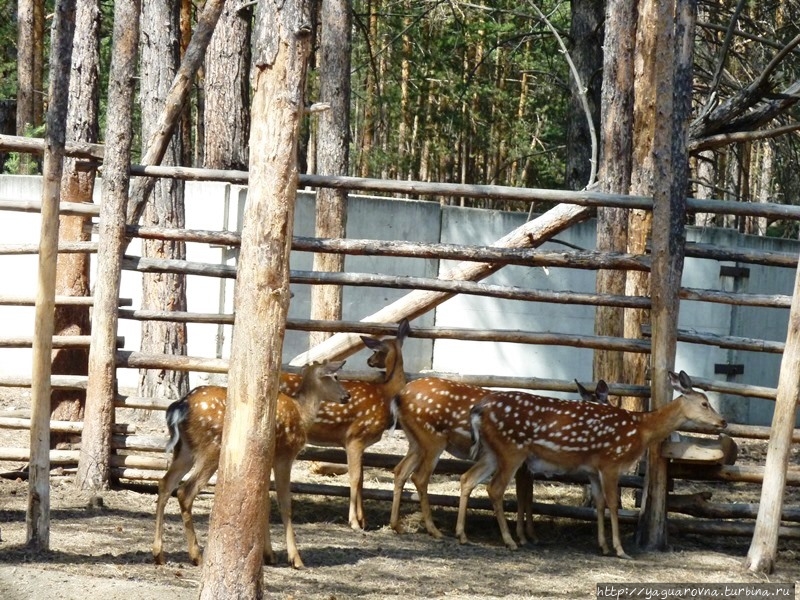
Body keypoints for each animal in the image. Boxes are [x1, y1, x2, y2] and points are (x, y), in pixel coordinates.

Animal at [152, 358, 348, 568]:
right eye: (335, 377)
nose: (347, 396)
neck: (302, 413)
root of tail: (179, 407)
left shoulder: (268, 460)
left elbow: (264, 502)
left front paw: (269, 554)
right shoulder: (285, 455)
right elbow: (285, 503)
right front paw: (295, 558)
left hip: (184, 449)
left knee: (165, 483)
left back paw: (159, 554)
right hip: (211, 447)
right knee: (184, 491)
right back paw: (196, 555)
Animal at [278, 318, 410, 528]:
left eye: (376, 351)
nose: (369, 361)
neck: (385, 395)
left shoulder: (361, 442)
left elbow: (361, 479)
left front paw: (364, 520)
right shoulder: (355, 437)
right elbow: (354, 478)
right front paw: (354, 522)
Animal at [390, 378, 608, 540]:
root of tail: (399, 396)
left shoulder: (524, 465)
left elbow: (527, 495)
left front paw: (528, 535)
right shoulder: (523, 464)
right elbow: (524, 496)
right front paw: (526, 535)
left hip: (416, 442)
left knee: (400, 470)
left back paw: (397, 526)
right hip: (433, 439)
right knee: (420, 477)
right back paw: (434, 530)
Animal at [456, 370, 724, 556]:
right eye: (704, 403)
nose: (722, 421)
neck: (641, 430)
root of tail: (479, 409)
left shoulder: (594, 470)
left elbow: (599, 503)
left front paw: (603, 546)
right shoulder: (611, 462)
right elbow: (613, 504)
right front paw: (620, 550)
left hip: (493, 452)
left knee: (467, 478)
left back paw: (462, 535)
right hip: (512, 449)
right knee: (494, 488)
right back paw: (509, 541)